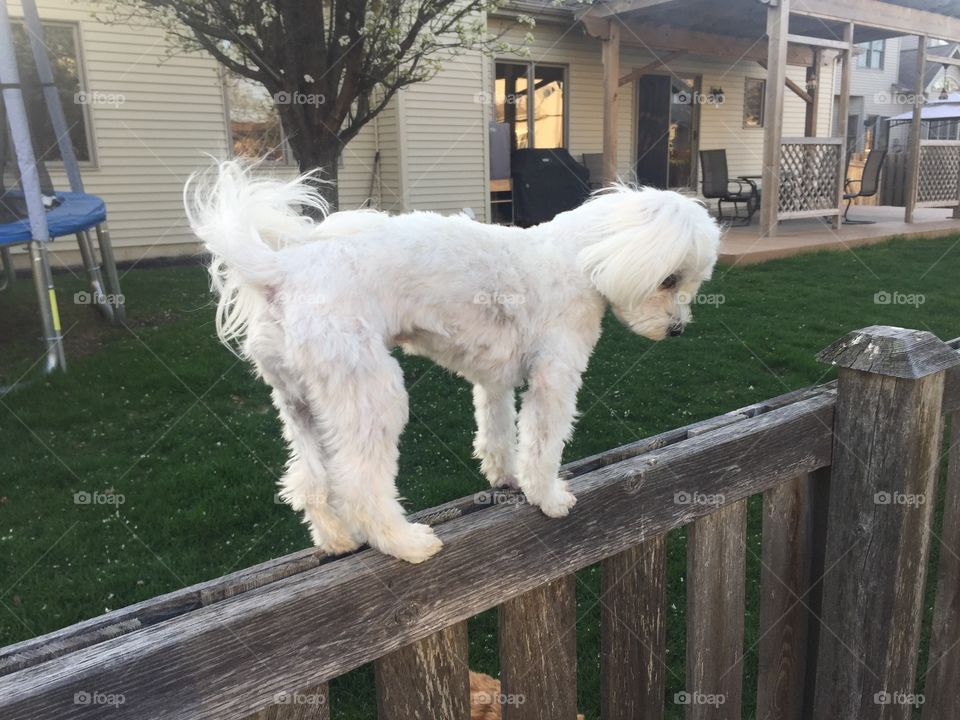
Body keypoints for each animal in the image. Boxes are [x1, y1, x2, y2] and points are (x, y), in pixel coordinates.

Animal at [186, 162, 720, 564]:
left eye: (691, 282)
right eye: (669, 279)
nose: (678, 330)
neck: (579, 260)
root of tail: (282, 269)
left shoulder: (495, 379)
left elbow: (498, 432)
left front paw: (506, 478)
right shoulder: (555, 377)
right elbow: (543, 445)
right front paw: (548, 498)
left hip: (300, 403)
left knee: (309, 480)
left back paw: (335, 539)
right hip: (370, 392)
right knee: (358, 484)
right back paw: (404, 543)